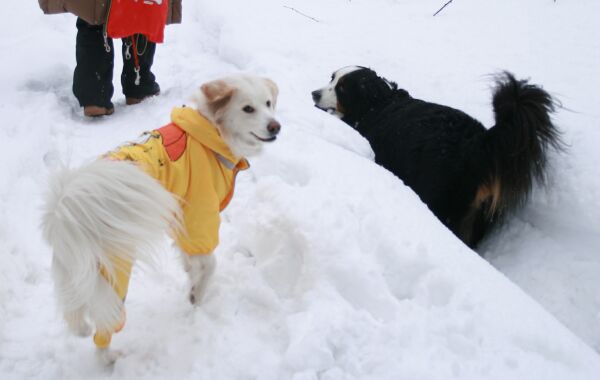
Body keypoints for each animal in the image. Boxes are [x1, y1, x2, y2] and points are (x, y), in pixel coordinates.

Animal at [42, 73, 282, 360]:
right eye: (248, 108)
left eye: (268, 103)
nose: (275, 127)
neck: (211, 132)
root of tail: (69, 208)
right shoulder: (200, 215)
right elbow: (210, 263)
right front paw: (196, 294)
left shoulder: (180, 221)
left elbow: (192, 259)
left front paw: (191, 274)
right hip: (113, 271)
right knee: (104, 324)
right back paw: (110, 358)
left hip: (76, 268)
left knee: (75, 312)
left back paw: (82, 329)